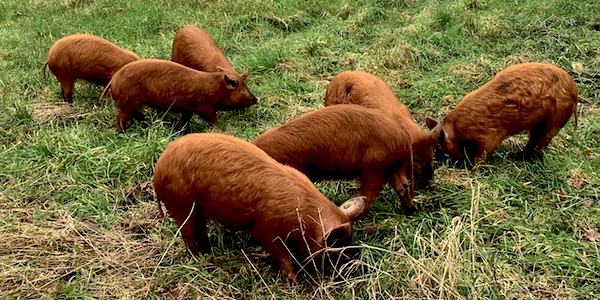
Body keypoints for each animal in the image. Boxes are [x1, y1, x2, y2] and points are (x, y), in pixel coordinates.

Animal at [98, 58, 258, 132]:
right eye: (242, 90)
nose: (256, 99)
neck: (215, 89)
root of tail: (113, 80)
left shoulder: (188, 109)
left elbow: (184, 121)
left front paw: (182, 131)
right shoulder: (203, 106)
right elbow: (213, 119)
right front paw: (222, 128)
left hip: (134, 103)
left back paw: (146, 124)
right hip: (128, 102)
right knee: (120, 117)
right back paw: (122, 134)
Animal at [154, 134, 366, 284]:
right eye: (335, 249)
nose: (351, 269)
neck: (305, 218)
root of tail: (158, 170)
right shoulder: (264, 230)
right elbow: (282, 255)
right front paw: (294, 282)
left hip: (197, 209)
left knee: (200, 228)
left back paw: (207, 251)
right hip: (181, 203)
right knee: (187, 232)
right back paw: (196, 257)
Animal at [251, 104, 414, 217]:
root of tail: (403, 135)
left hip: (373, 167)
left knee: (370, 195)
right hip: (396, 168)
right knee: (403, 186)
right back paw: (409, 211)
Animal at [424, 61, 580, 164]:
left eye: (439, 146)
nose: (435, 162)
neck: (457, 130)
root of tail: (574, 89)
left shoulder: (489, 135)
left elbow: (483, 154)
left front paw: (474, 171)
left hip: (558, 116)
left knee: (544, 139)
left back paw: (533, 160)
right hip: (539, 121)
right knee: (534, 137)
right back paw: (519, 156)